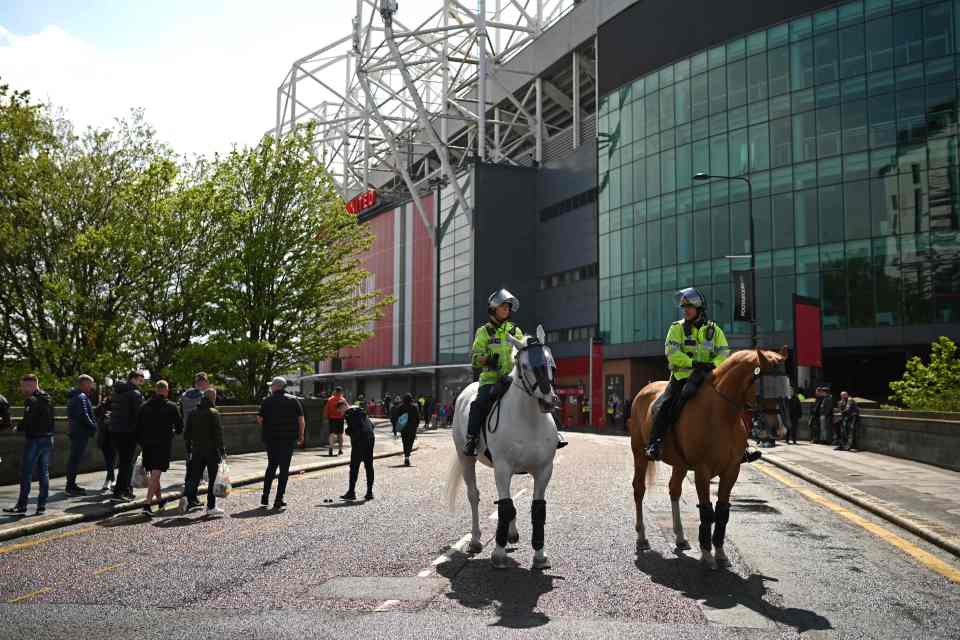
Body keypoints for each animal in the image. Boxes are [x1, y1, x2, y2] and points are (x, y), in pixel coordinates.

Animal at [444, 324, 560, 568]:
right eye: (524, 365)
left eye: (551, 362)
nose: (548, 400)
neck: (529, 420)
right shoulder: (503, 467)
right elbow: (505, 507)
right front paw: (498, 554)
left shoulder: (544, 469)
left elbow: (537, 509)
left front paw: (539, 555)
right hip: (466, 457)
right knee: (474, 495)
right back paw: (476, 540)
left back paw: (511, 534)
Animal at [632, 350, 788, 568]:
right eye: (765, 386)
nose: (779, 430)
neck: (722, 414)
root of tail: (645, 388)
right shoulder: (702, 470)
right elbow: (706, 510)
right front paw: (706, 554)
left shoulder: (731, 470)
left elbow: (722, 511)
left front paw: (720, 553)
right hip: (639, 453)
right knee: (639, 489)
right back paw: (642, 537)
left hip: (680, 464)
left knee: (674, 490)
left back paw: (680, 537)